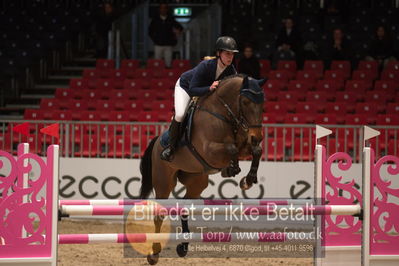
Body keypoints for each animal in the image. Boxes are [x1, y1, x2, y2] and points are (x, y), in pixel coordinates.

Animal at [138, 75, 266, 264]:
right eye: (245, 102)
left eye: (262, 103)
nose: (257, 137)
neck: (225, 114)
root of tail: (157, 141)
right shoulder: (210, 150)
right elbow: (232, 149)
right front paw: (233, 168)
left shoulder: (245, 144)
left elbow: (256, 151)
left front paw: (247, 180)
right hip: (164, 182)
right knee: (159, 213)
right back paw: (154, 253)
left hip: (196, 182)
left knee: (184, 207)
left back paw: (183, 246)